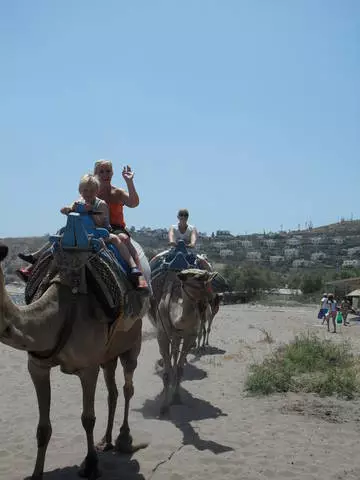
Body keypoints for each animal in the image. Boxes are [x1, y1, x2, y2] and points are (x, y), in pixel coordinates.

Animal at [0, 240, 150, 480]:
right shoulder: (37, 366)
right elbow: (43, 428)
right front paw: (36, 474)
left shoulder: (88, 368)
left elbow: (88, 419)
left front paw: (90, 466)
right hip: (108, 356)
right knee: (113, 392)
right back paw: (105, 441)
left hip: (133, 342)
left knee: (128, 387)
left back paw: (124, 440)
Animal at [149, 268, 217, 414]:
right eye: (198, 278)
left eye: (208, 278)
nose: (212, 296)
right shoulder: (162, 336)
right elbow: (166, 374)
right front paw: (164, 407)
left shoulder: (189, 337)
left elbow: (180, 369)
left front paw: (176, 397)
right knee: (170, 354)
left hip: (178, 337)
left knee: (175, 353)